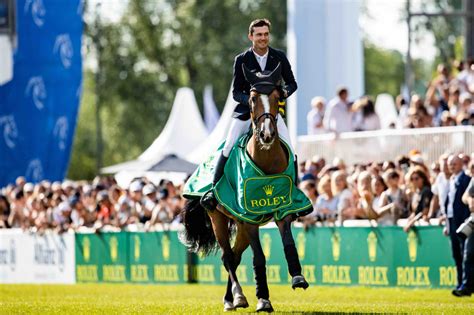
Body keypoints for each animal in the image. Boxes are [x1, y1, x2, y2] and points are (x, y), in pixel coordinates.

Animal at [181, 64, 308, 314]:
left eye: (278, 97)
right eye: (251, 98)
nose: (267, 135)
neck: (267, 162)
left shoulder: (282, 210)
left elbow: (289, 243)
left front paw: (298, 278)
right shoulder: (250, 217)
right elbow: (258, 257)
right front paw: (263, 299)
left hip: (239, 223)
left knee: (235, 256)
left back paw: (231, 298)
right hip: (219, 218)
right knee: (228, 257)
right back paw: (237, 298)